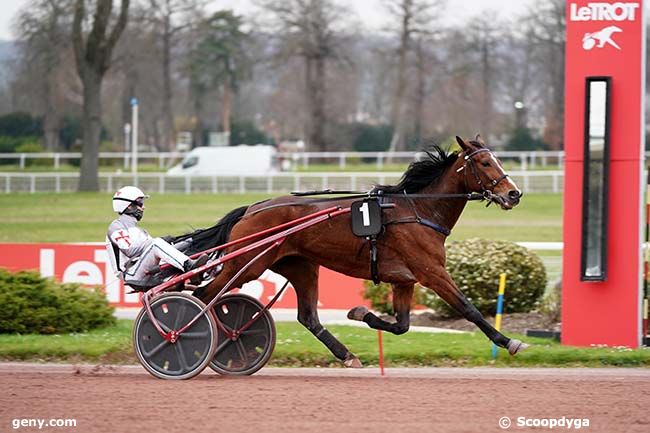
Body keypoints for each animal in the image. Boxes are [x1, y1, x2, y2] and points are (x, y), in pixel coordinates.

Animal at [171, 137, 528, 366]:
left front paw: (359, 313)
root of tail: (251, 209)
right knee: (202, 298)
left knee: (308, 317)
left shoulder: (404, 280)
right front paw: (510, 341)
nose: (514, 194)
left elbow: (402, 325)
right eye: (485, 162)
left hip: (300, 266)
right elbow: (469, 309)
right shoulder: (432, 273)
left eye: (498, 160)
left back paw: (346, 355)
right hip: (246, 265)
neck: (419, 210)